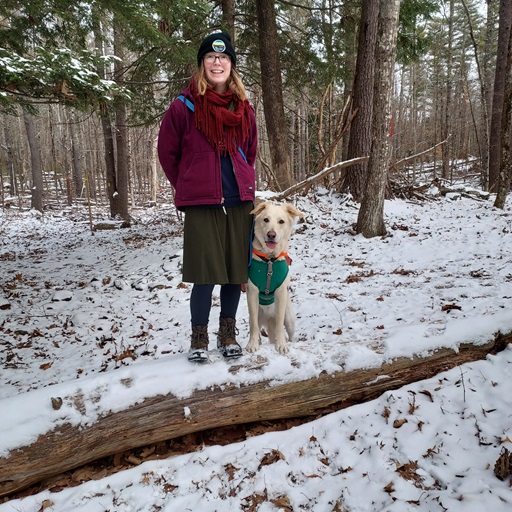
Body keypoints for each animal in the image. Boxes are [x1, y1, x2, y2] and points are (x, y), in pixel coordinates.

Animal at [245, 202, 302, 354]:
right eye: (266, 219)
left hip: (289, 319)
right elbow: (253, 326)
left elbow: (280, 325)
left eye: (281, 221)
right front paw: (252, 344)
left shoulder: (281, 292)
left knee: (288, 332)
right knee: (257, 326)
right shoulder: (252, 292)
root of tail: (269, 318)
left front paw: (281, 344)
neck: (269, 259)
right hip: (257, 315)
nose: (271, 234)